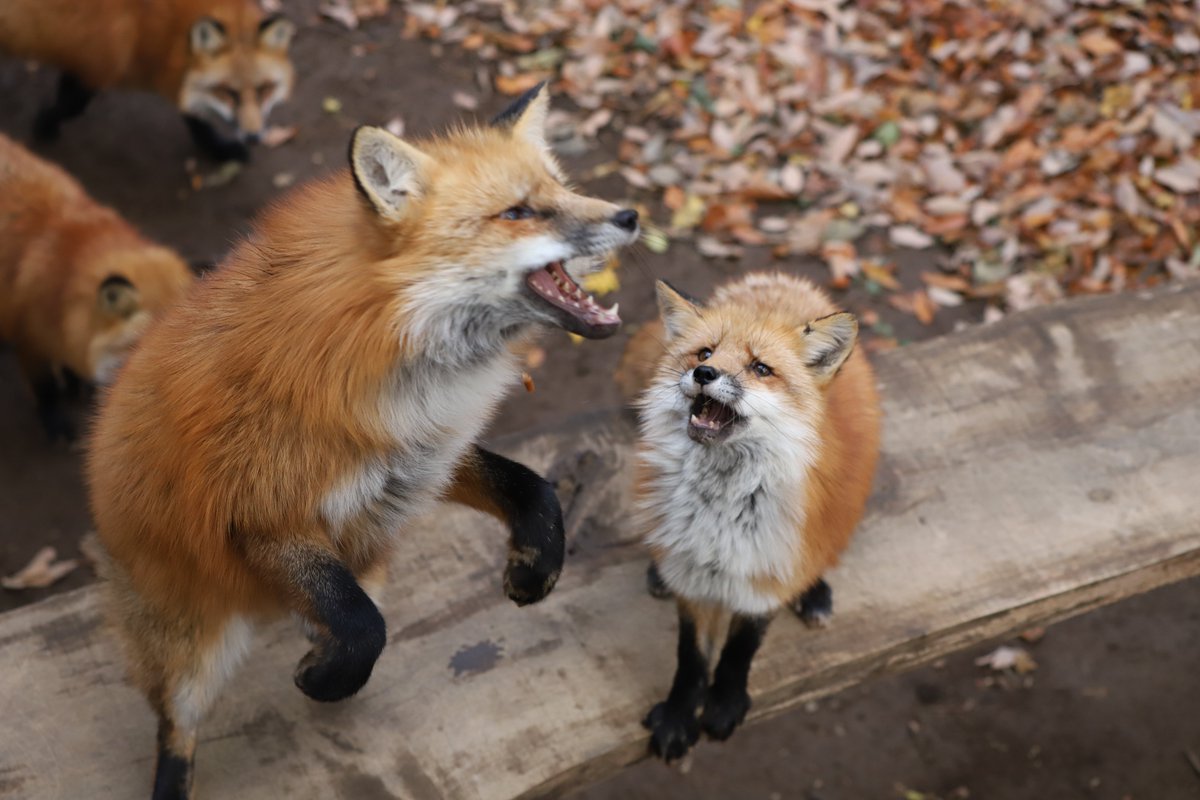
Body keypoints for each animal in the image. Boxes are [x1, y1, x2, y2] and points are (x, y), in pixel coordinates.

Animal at [88, 86, 643, 800]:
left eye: (562, 188)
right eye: (517, 212)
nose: (630, 215)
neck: (391, 349)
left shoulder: (425, 457)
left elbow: (531, 486)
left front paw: (537, 565)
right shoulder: (261, 513)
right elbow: (363, 628)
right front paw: (328, 678)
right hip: (190, 647)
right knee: (175, 725)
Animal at [628, 272, 883, 762]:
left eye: (761, 368)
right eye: (705, 353)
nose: (704, 374)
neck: (723, 506)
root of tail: (784, 282)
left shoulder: (767, 564)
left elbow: (739, 649)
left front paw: (725, 704)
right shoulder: (692, 574)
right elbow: (690, 657)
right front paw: (679, 715)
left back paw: (814, 591)